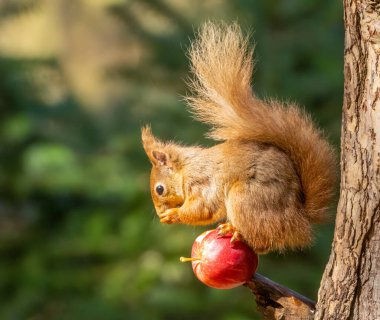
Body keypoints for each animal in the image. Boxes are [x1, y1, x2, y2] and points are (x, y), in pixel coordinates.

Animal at [142, 22, 336, 254]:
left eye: (159, 189)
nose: (159, 212)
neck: (186, 166)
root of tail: (299, 220)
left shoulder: (200, 182)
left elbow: (202, 209)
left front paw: (173, 214)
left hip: (246, 198)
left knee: (262, 241)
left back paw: (237, 232)